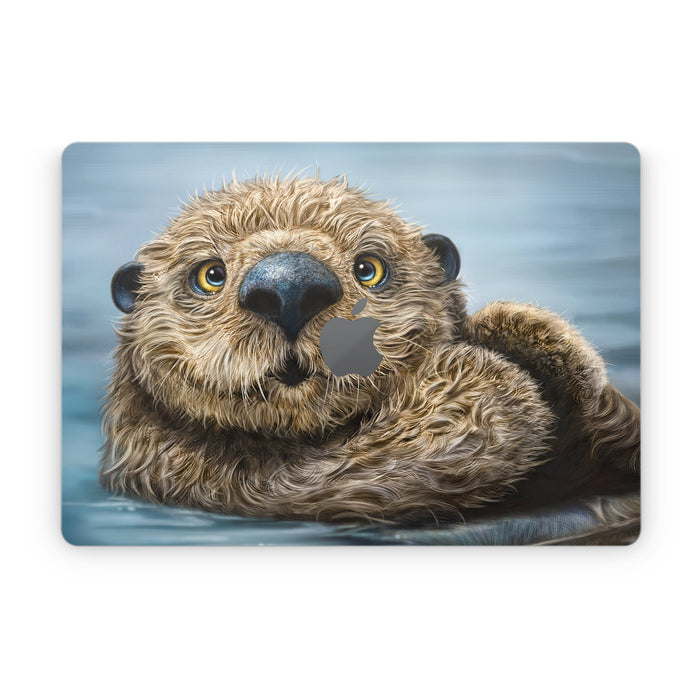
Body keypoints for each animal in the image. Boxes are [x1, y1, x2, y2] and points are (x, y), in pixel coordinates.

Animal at [102, 175, 640, 527]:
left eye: (369, 268)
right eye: (210, 275)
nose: (290, 287)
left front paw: (520, 328)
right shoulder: (220, 480)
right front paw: (488, 373)